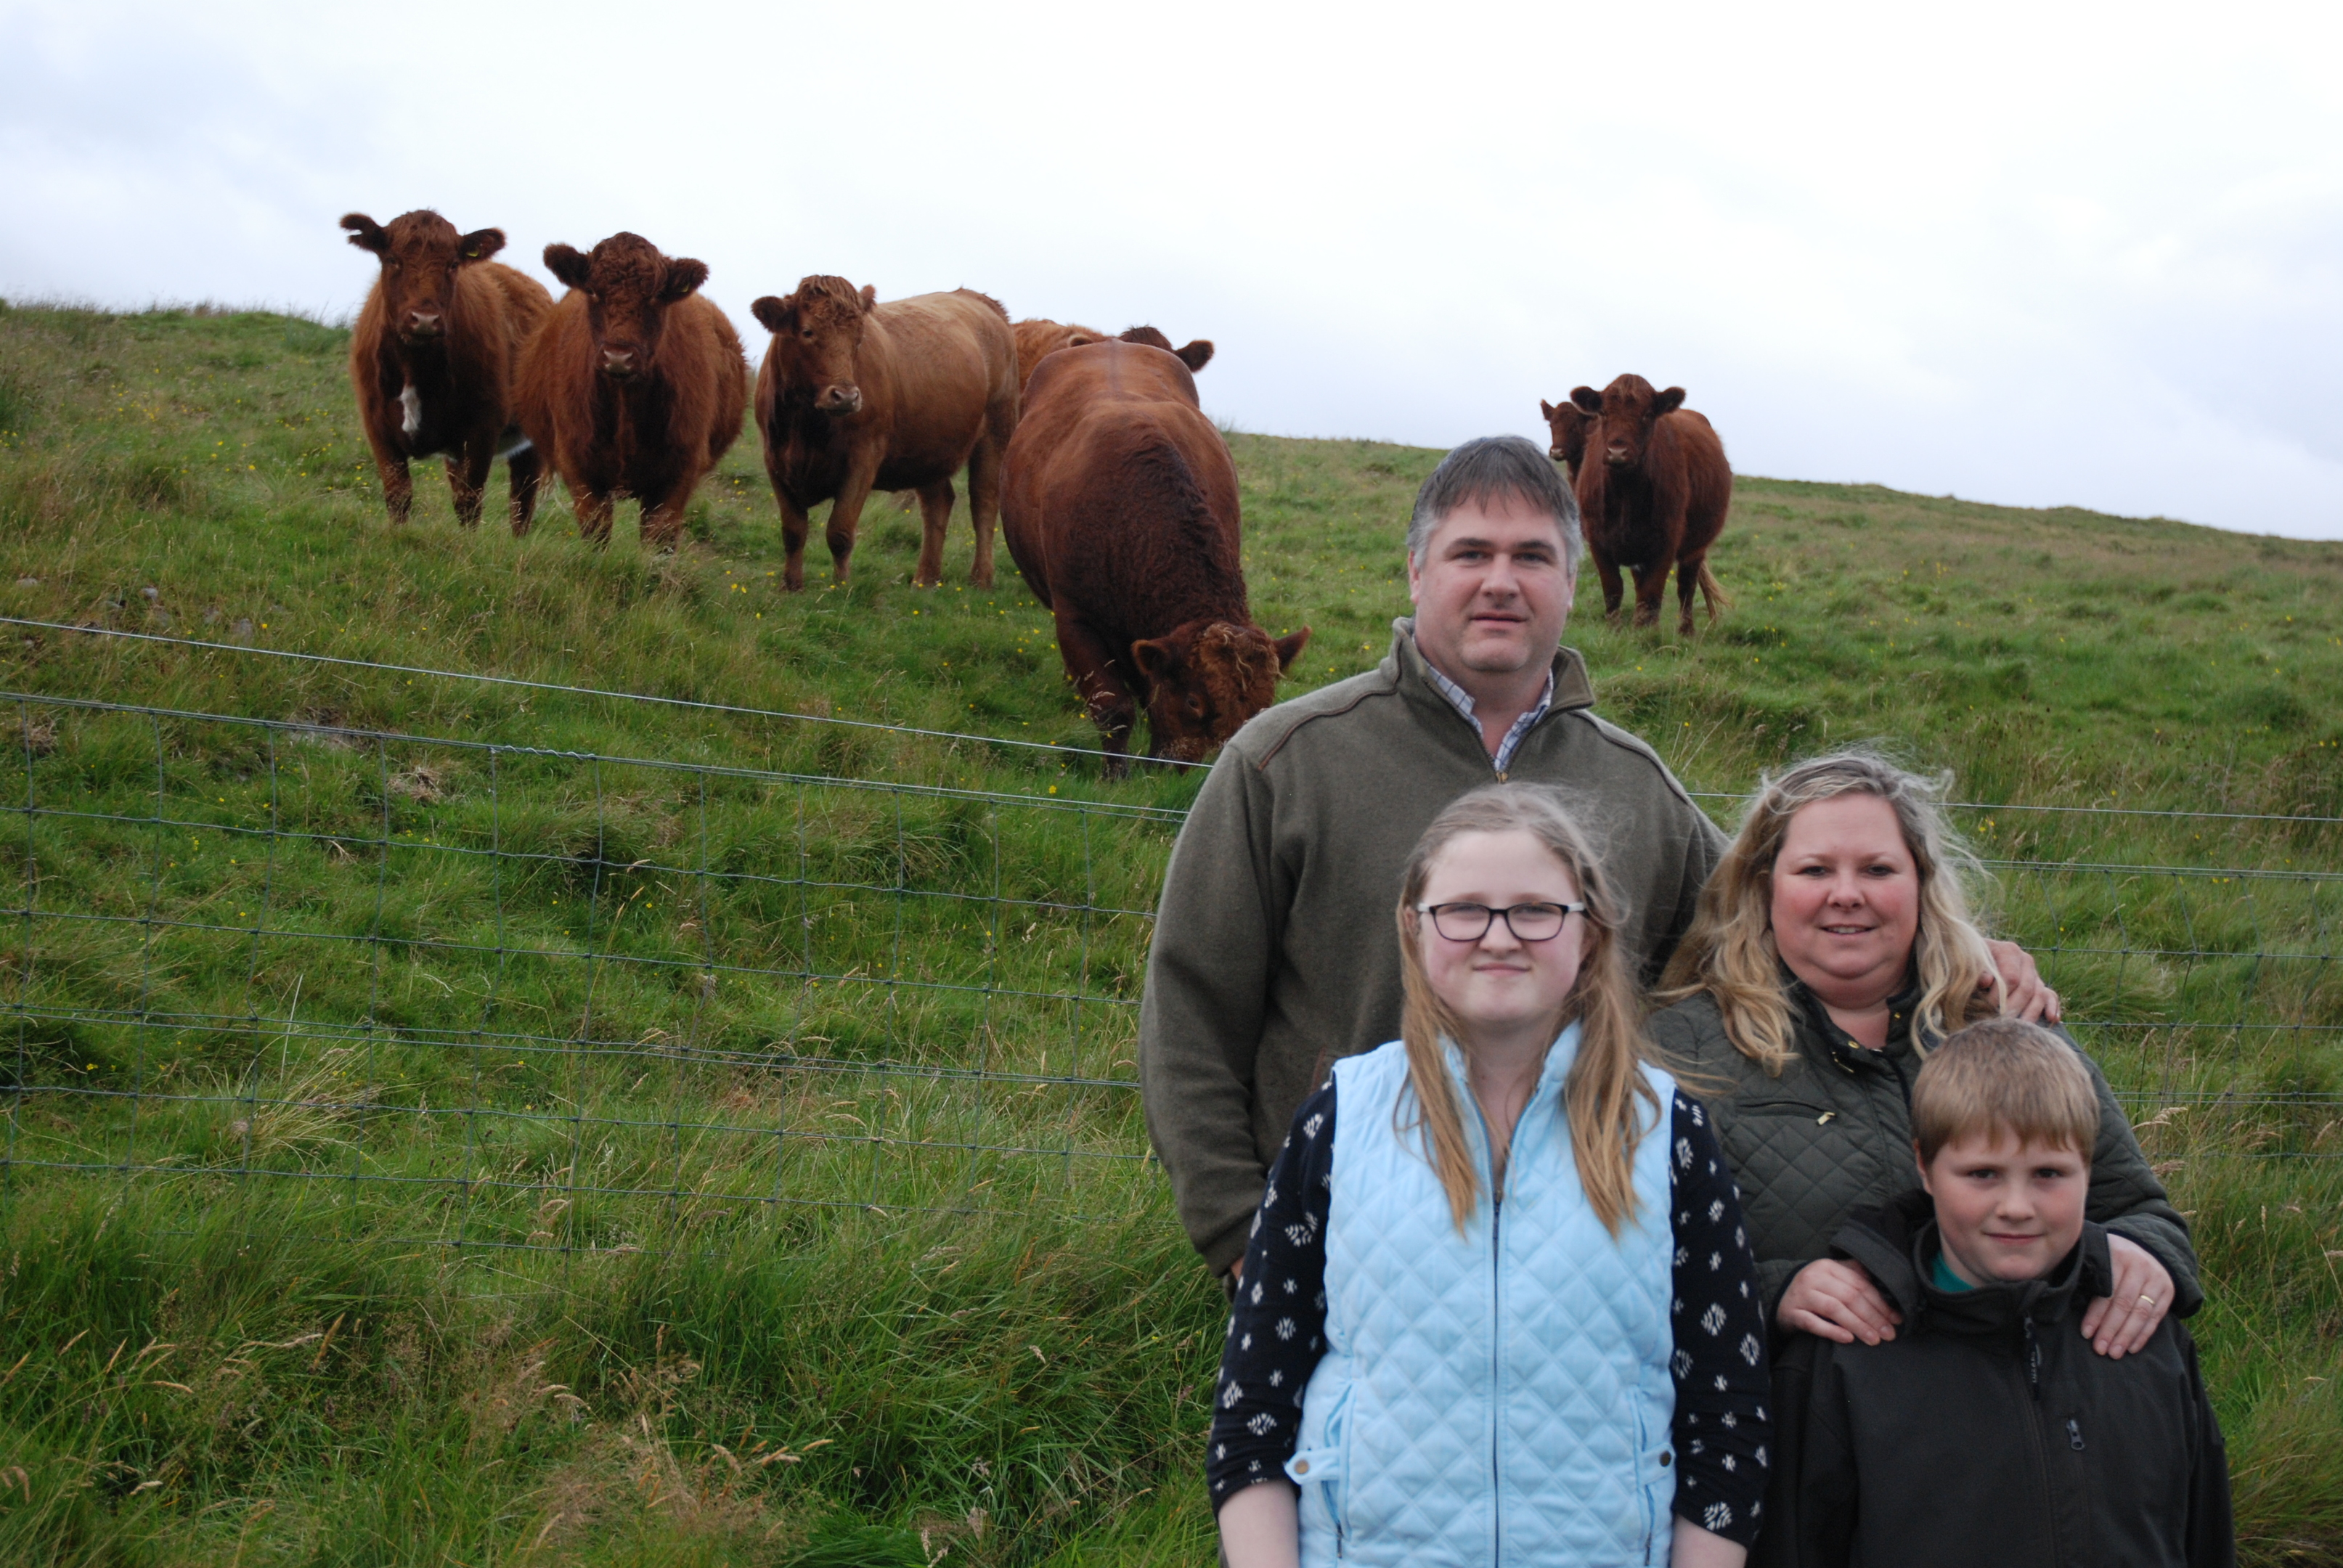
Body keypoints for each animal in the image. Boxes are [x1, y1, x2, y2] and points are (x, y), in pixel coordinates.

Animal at [342, 207, 548, 531]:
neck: (415, 367)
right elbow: (398, 495)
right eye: (392, 259)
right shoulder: (376, 425)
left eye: (453, 264)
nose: (425, 319)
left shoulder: (482, 426)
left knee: (522, 500)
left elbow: (470, 502)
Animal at [518, 229, 745, 550]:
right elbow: (596, 534)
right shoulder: (578, 468)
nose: (618, 356)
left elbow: (658, 540)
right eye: (593, 291)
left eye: (655, 296)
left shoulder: (678, 475)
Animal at [745, 275, 1012, 586]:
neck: (806, 427)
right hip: (929, 448)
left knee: (984, 501)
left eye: (859, 337)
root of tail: (978, 300)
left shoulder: (863, 458)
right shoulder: (774, 459)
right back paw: (925, 579)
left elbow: (840, 531)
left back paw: (981, 578)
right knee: (938, 503)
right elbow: (793, 532)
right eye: (807, 332)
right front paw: (791, 585)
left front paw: (841, 586)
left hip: (996, 433)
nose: (846, 397)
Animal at [1003, 337, 1312, 769]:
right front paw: (1116, 775)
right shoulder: (1075, 620)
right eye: (1195, 701)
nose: (1209, 772)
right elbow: (1114, 709)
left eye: (1261, 710)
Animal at [1565, 372, 1733, 637]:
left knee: (1686, 587)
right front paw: (1615, 631)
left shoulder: (1666, 541)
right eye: (1603, 413)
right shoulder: (1598, 541)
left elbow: (1652, 593)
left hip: (1696, 547)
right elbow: (1613, 590)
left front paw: (1646, 635)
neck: (1626, 494)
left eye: (1648, 414)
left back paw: (1686, 631)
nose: (1617, 451)